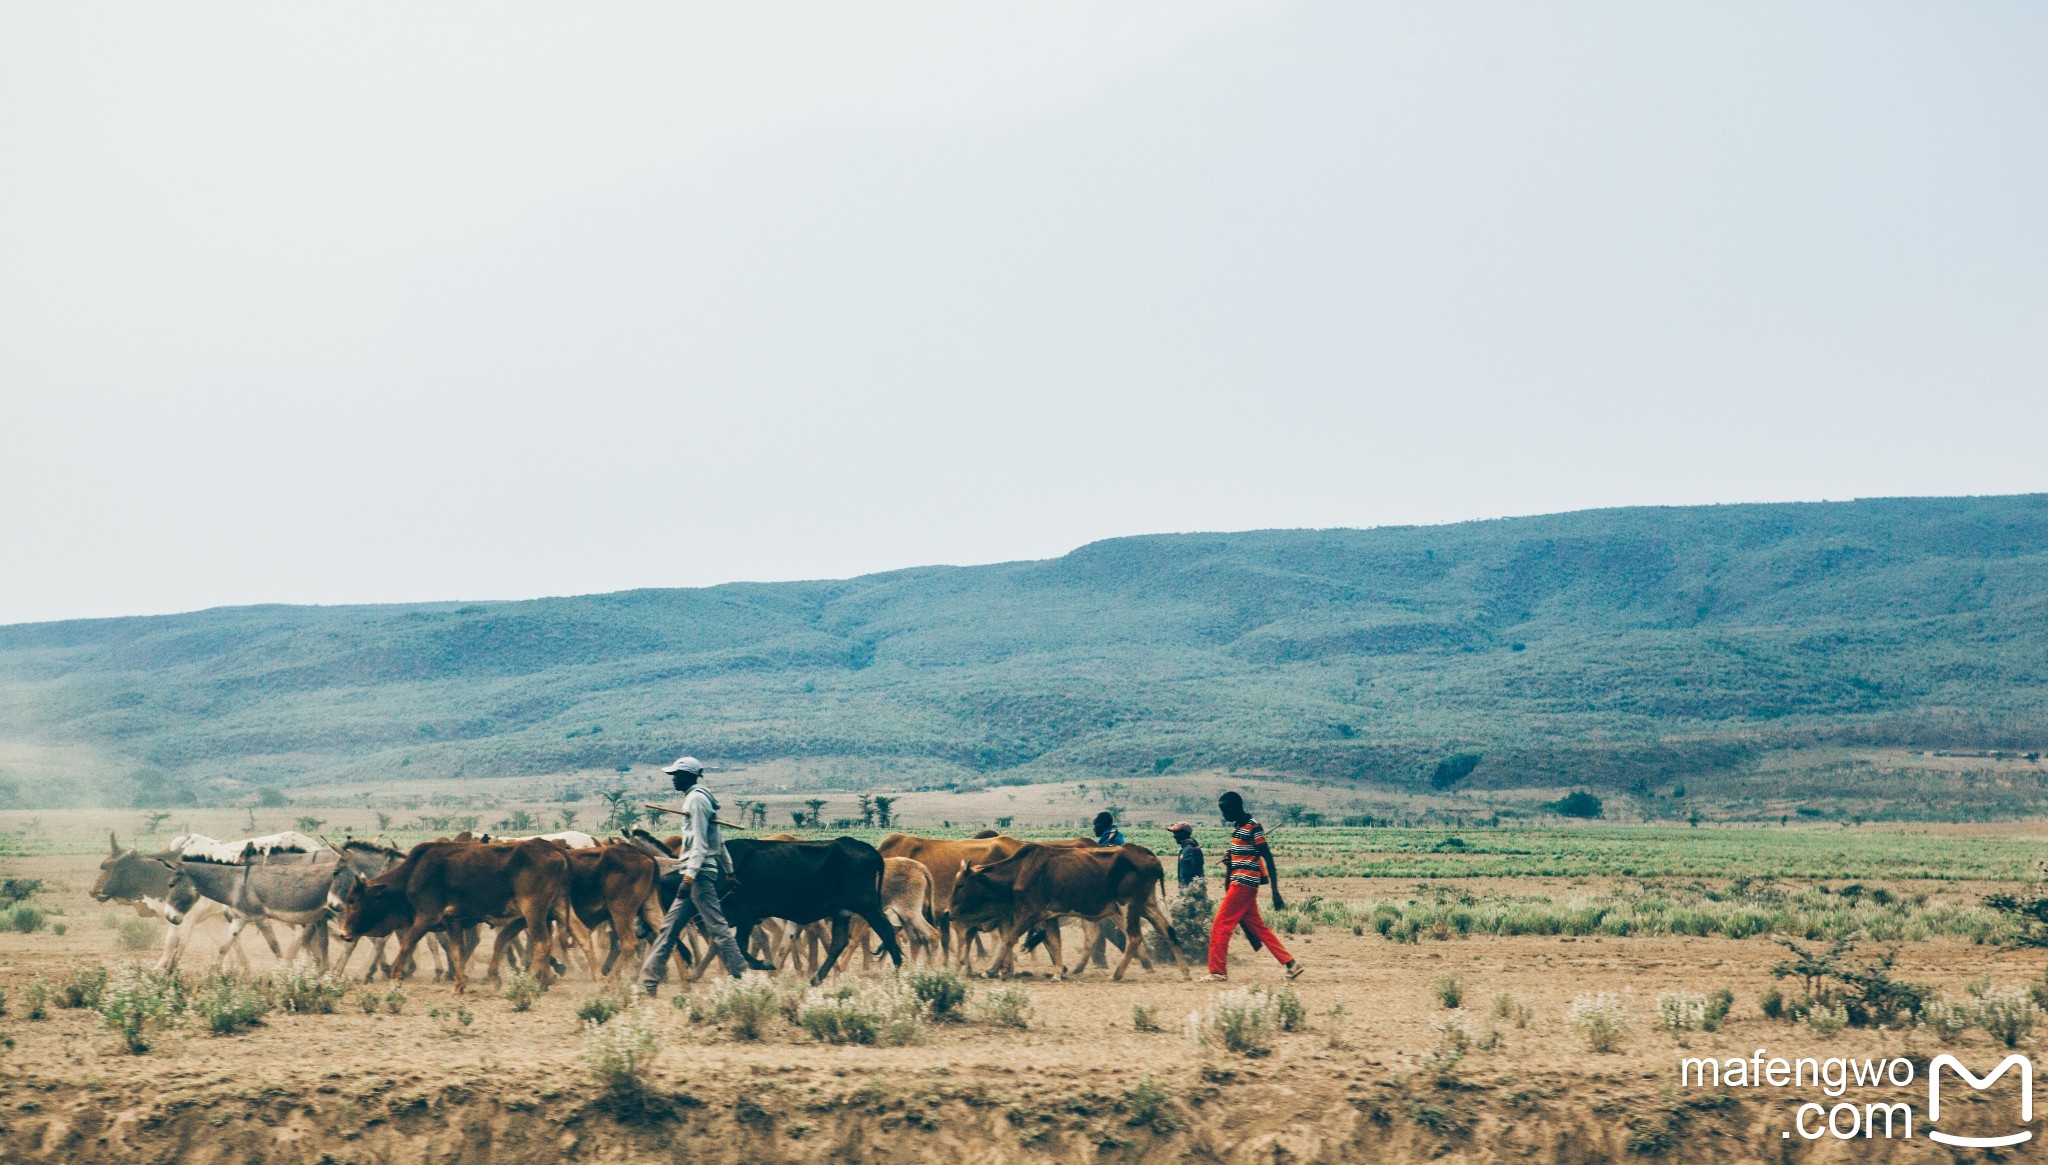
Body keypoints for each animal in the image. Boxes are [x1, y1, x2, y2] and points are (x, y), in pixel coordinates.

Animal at [339, 835, 573, 990]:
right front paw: (460, 982)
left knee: (542, 942)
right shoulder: (451, 921)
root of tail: (554, 849)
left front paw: (396, 976)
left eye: (353, 901)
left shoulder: (426, 918)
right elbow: (456, 950)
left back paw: (530, 981)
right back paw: (544, 980)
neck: (413, 874)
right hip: (552, 912)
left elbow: (407, 944)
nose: (343, 933)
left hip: (533, 912)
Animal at [942, 839, 1187, 978]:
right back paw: (1184, 972)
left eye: (960, 884)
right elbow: (1055, 942)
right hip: (1147, 905)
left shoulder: (1030, 913)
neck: (1019, 870)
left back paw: (1117, 974)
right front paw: (1059, 972)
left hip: (1128, 907)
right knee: (1167, 930)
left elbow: (1009, 938)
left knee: (1134, 937)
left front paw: (990, 969)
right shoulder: (1048, 916)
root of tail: (1147, 854)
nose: (947, 912)